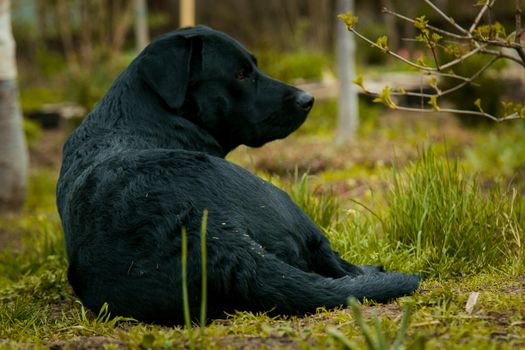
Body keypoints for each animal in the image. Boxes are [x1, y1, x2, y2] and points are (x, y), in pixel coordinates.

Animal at [56, 26, 418, 324]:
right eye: (241, 74)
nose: (309, 99)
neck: (147, 118)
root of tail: (210, 239)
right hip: (282, 201)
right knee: (334, 263)